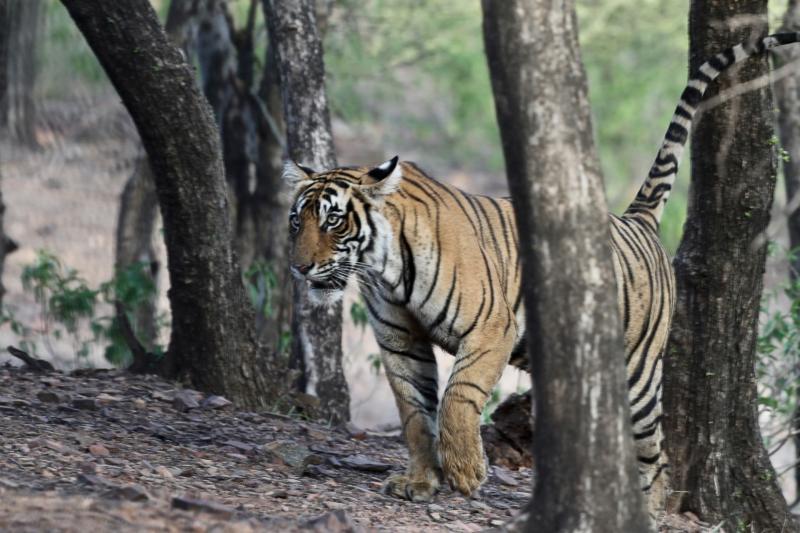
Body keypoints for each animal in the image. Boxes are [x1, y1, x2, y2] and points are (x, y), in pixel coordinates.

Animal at [283, 33, 800, 515]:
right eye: (296, 221)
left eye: (333, 221)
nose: (298, 266)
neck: (384, 267)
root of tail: (636, 219)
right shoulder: (400, 338)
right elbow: (414, 413)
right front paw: (419, 482)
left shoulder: (492, 327)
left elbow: (457, 396)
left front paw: (466, 472)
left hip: (638, 372)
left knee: (655, 452)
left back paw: (648, 510)